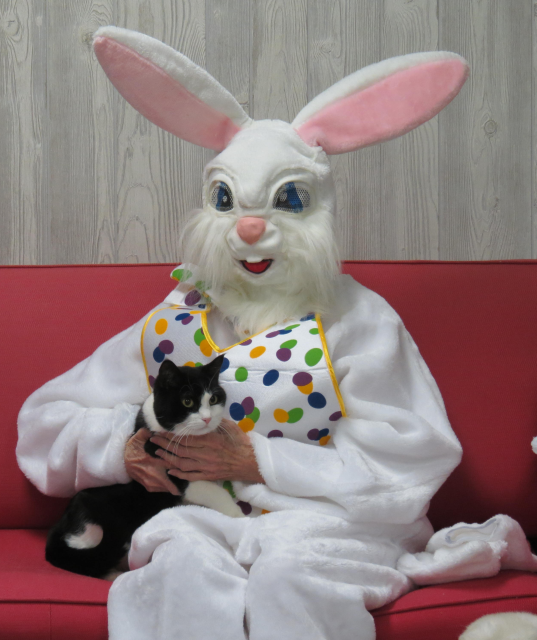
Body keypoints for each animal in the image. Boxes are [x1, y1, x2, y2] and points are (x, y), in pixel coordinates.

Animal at [46, 356, 243, 580]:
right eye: (187, 401)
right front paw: (239, 516)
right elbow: (213, 491)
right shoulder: (167, 464)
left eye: (213, 399)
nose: (207, 418)